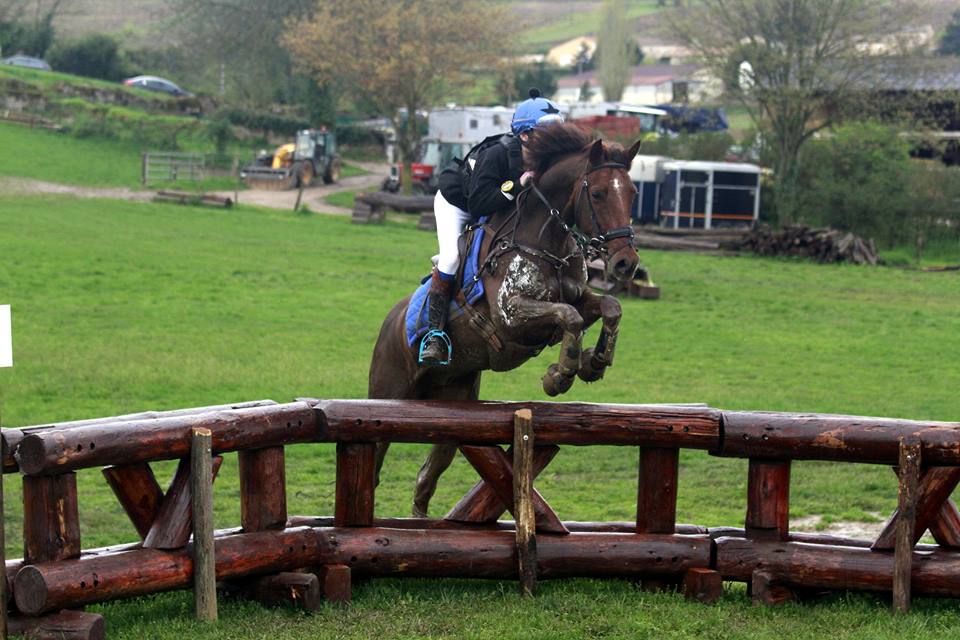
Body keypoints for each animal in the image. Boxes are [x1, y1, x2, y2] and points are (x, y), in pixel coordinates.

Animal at [372, 122, 640, 516]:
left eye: (633, 193)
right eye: (600, 193)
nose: (626, 263)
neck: (545, 241)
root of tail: (389, 323)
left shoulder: (578, 297)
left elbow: (608, 307)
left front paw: (594, 361)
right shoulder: (510, 316)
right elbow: (570, 317)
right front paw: (560, 374)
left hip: (450, 411)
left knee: (425, 478)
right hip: (387, 396)